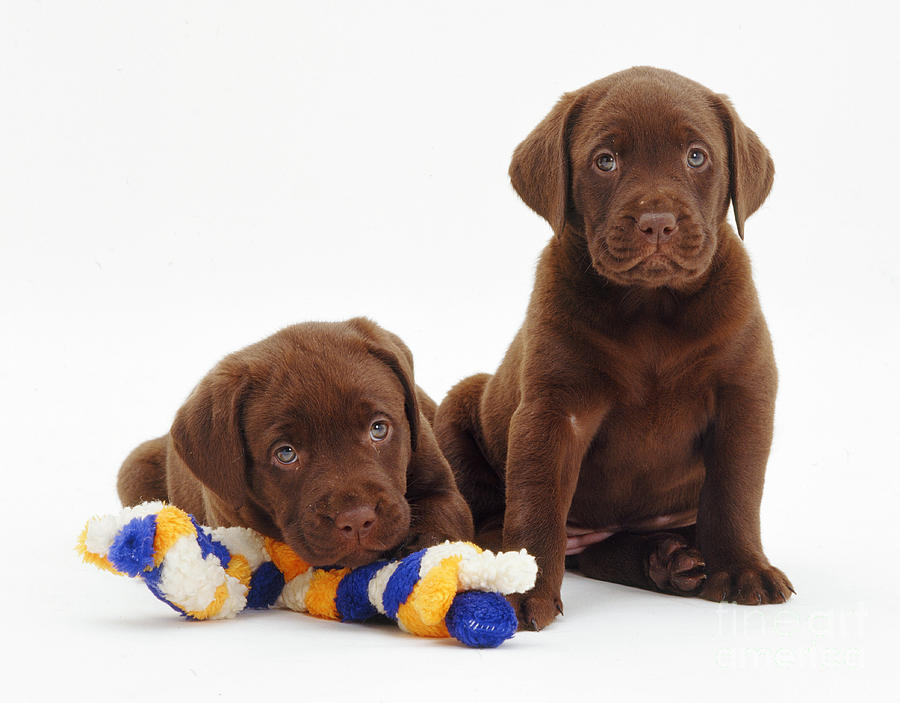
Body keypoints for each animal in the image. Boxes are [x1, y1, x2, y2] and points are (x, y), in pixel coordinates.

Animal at [436, 66, 796, 628]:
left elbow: (734, 495)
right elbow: (535, 505)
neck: (651, 306)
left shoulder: (744, 395)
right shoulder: (554, 410)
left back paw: (671, 560)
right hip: (460, 409)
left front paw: (742, 569)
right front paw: (523, 588)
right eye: (605, 160)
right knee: (494, 522)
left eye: (697, 156)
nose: (657, 223)